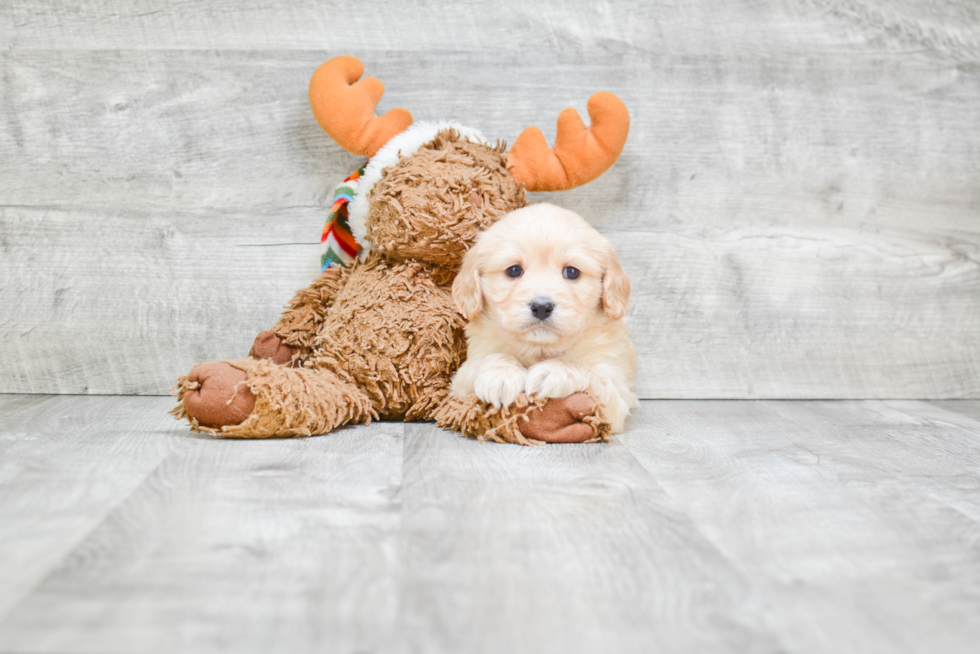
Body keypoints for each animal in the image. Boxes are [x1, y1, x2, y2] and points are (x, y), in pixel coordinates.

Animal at [450, 202, 636, 434]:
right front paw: (501, 373)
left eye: (572, 272)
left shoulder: (616, 398)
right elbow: (486, 362)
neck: (540, 349)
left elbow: (587, 370)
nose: (541, 307)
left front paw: (555, 371)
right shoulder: (461, 382)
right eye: (514, 270)